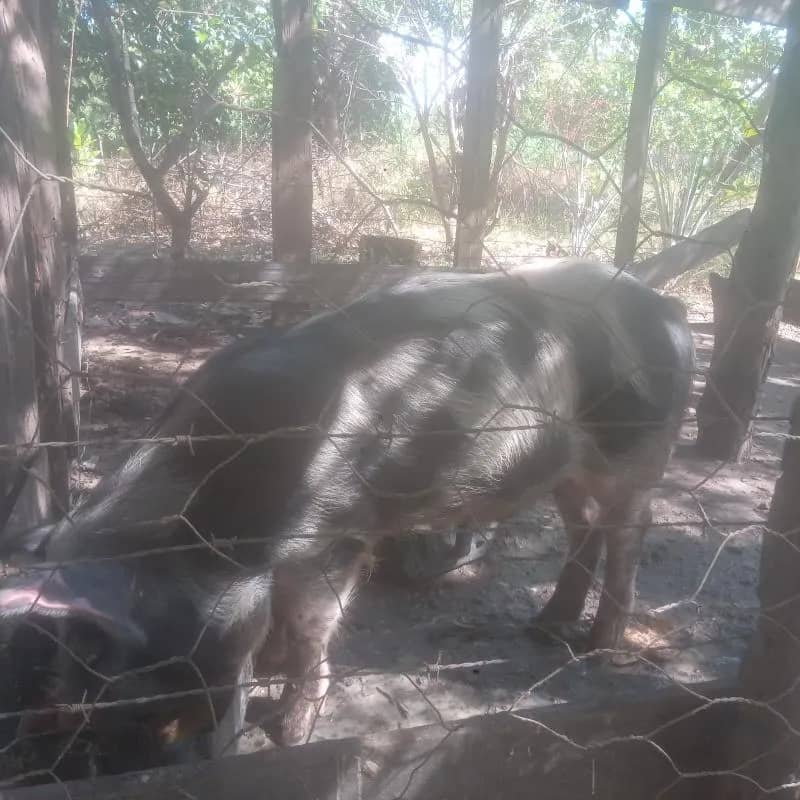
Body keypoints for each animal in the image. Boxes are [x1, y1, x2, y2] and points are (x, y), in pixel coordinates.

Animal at [0, 259, 694, 776]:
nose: (159, 760)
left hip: (638, 447)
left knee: (630, 529)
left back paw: (599, 646)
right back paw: (546, 628)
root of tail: (669, 310)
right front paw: (272, 668)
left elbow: (313, 628)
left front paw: (289, 732)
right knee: (583, 527)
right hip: (565, 467)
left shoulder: (335, 536)